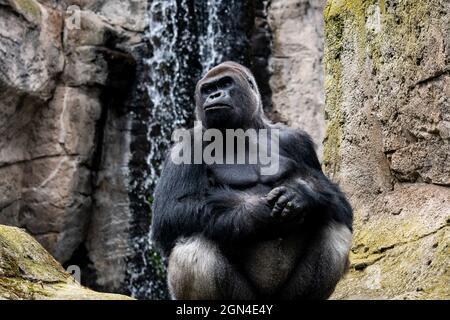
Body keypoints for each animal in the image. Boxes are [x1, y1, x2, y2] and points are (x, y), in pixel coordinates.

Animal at [151, 62, 352, 300]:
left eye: (225, 83)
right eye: (208, 89)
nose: (215, 95)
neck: (243, 130)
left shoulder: (297, 140)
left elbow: (339, 202)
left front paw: (302, 194)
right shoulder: (186, 146)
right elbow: (171, 211)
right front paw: (257, 212)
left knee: (334, 225)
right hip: (244, 296)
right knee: (193, 242)